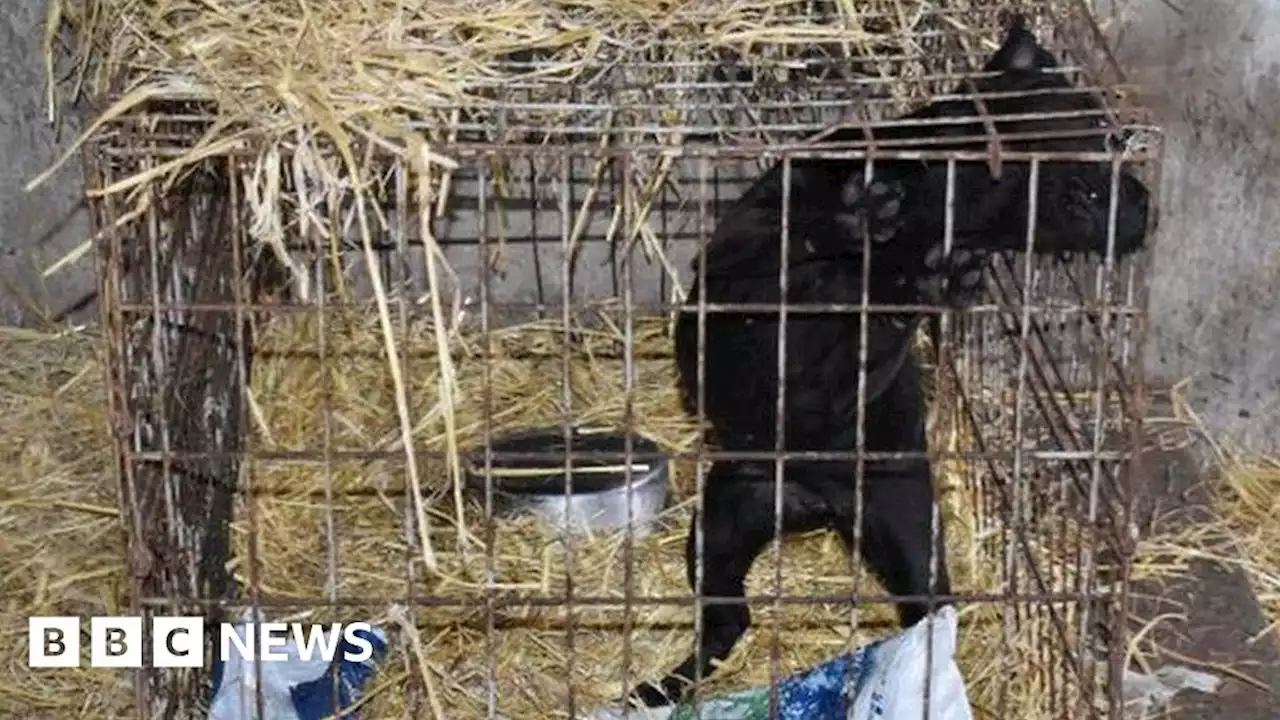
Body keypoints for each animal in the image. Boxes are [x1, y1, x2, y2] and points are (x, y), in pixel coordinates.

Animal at [627, 16, 1152, 707]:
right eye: (1099, 136)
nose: (1145, 206)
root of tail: (817, 502)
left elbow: (881, 319)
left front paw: (930, 272)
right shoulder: (750, 250)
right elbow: (806, 244)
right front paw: (862, 215)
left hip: (898, 532)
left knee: (900, 617)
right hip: (721, 520)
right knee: (725, 621)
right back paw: (659, 689)